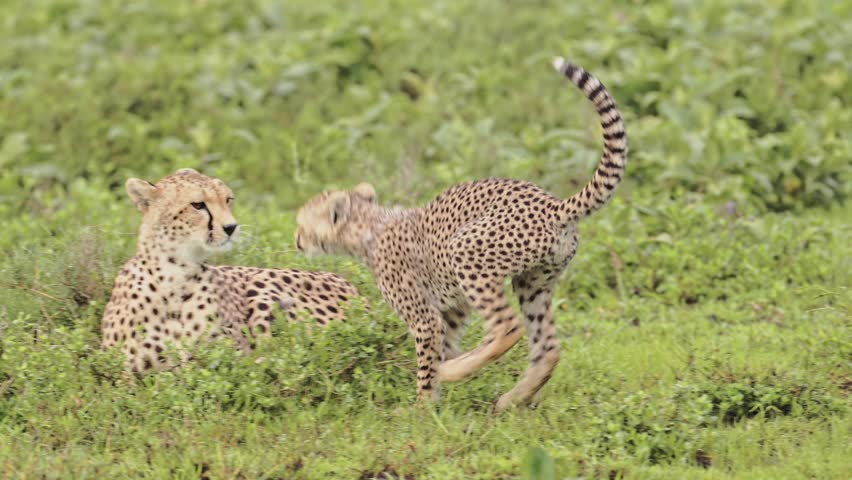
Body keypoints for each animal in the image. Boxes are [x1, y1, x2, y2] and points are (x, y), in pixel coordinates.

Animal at [101, 168, 361, 372]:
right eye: (198, 205)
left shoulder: (227, 355)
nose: (231, 227)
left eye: (228, 200)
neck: (175, 272)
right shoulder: (126, 371)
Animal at [293, 58, 628, 411]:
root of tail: (553, 203)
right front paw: (435, 398)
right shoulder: (451, 310)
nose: (296, 240)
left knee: (507, 327)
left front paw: (422, 410)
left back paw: (459, 373)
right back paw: (512, 398)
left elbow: (428, 366)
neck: (370, 227)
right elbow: (441, 349)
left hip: (466, 252)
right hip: (534, 282)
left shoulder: (426, 318)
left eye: (303, 224)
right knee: (547, 347)